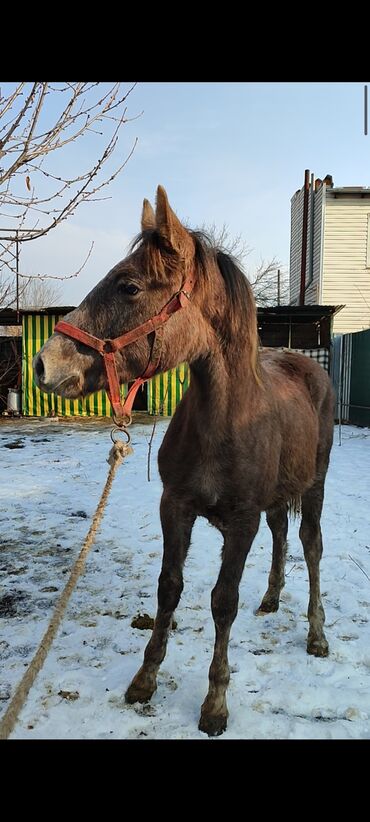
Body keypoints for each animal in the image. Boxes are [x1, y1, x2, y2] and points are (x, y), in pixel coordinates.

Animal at [34, 187, 336, 740]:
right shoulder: (174, 507)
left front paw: (215, 703)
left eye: (129, 286)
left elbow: (223, 601)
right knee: (282, 533)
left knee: (310, 546)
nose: (46, 364)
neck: (224, 422)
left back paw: (316, 633)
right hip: (277, 499)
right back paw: (272, 598)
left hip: (315, 486)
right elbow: (168, 589)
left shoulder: (241, 522)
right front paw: (144, 678)